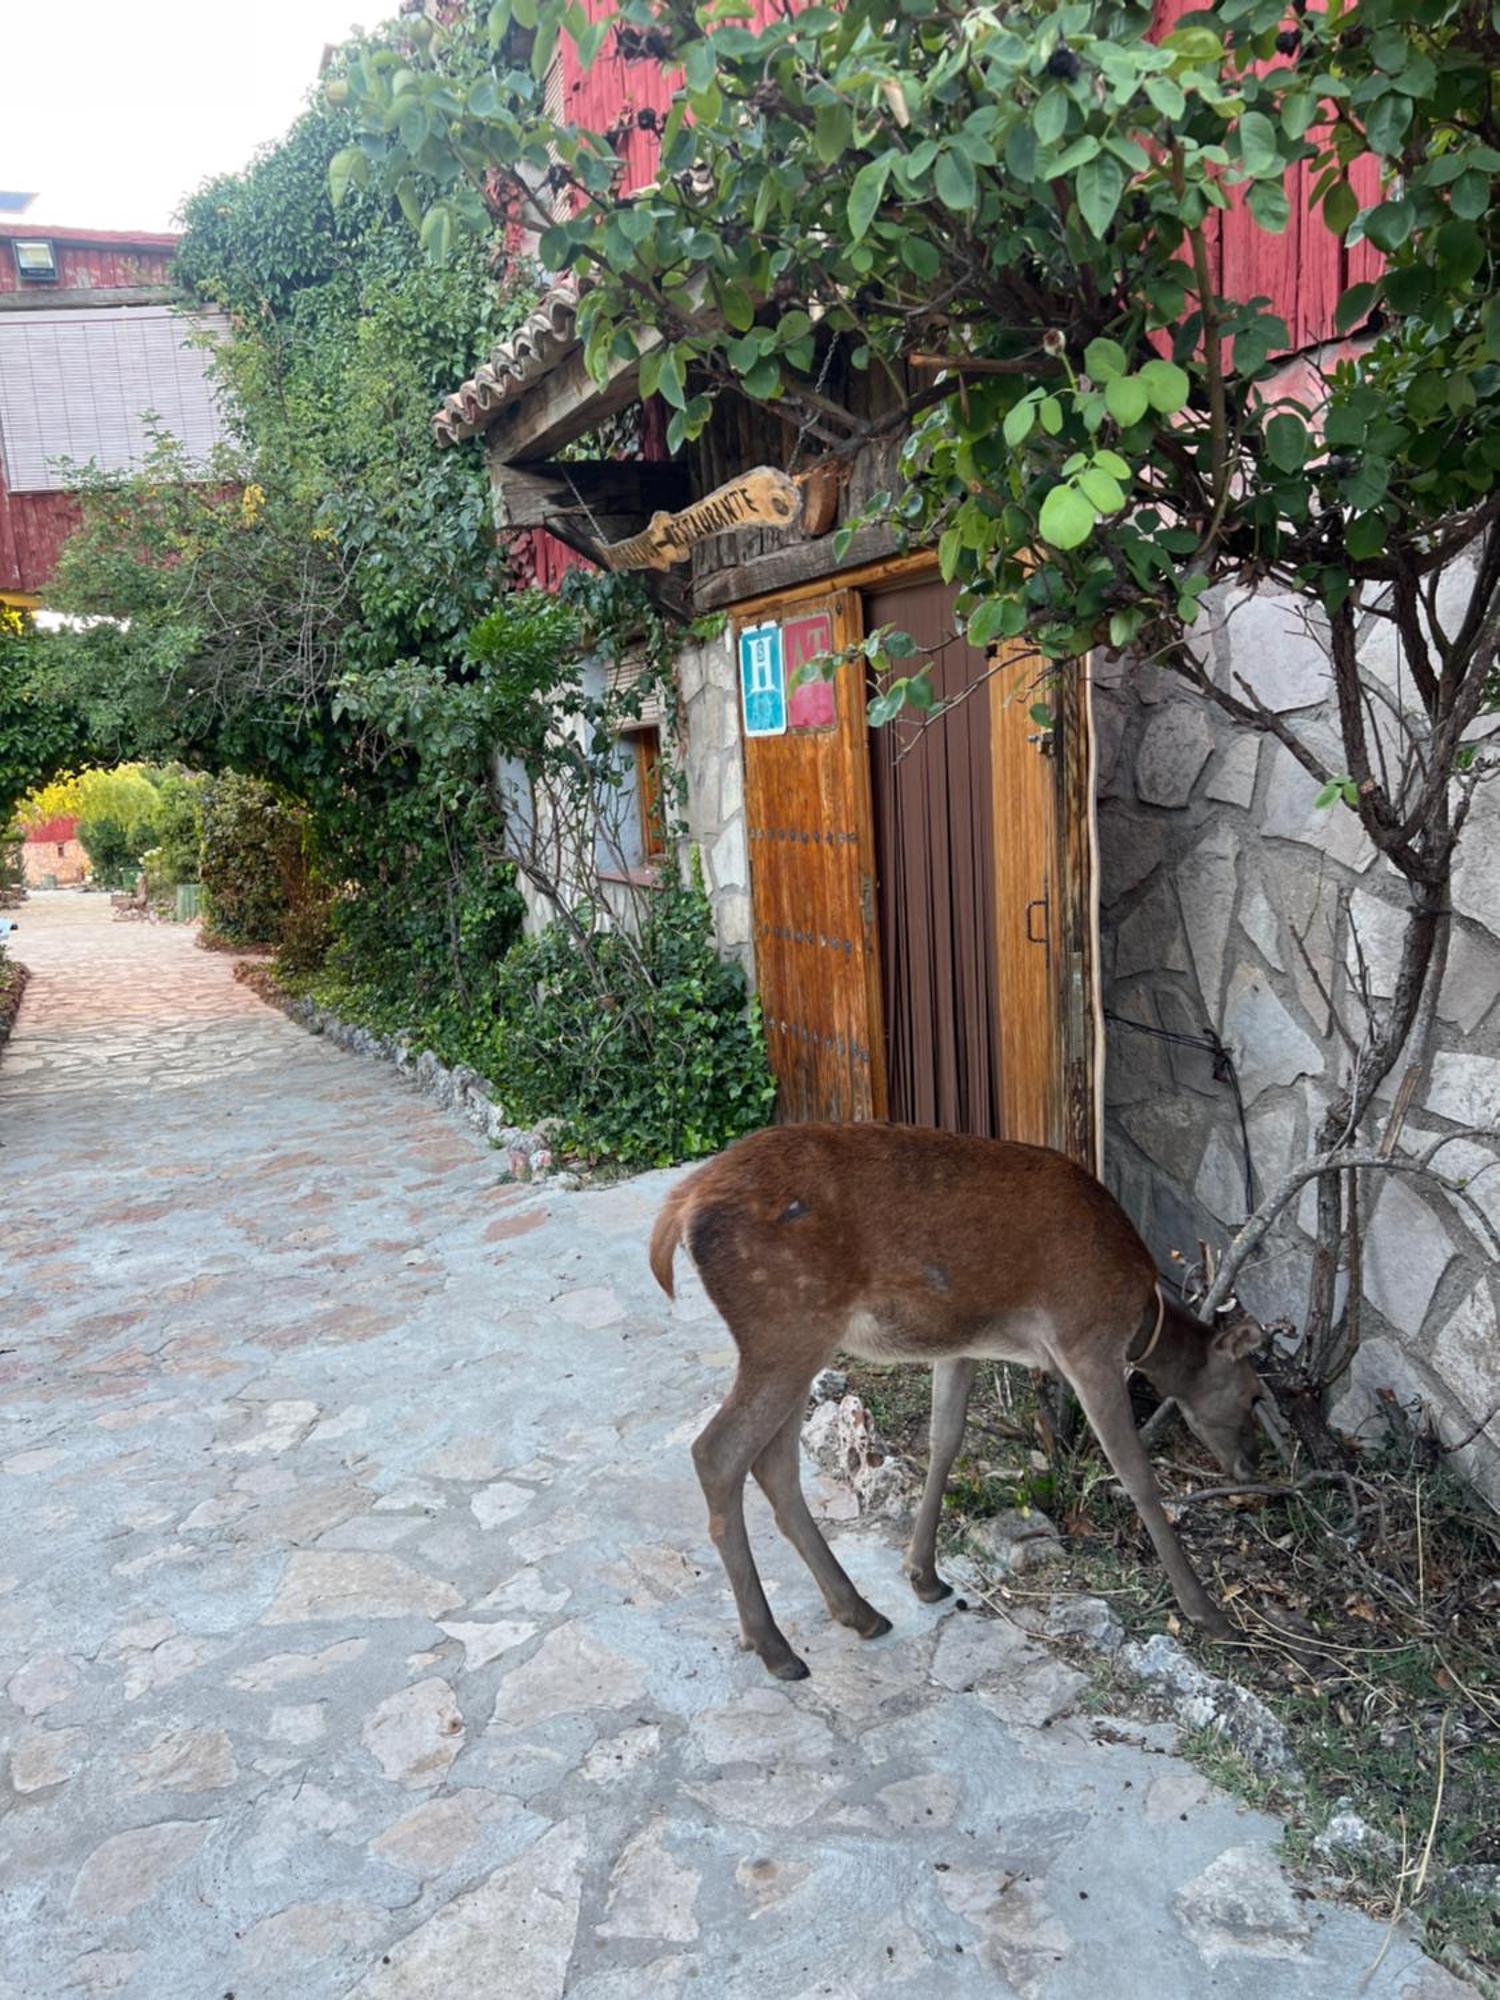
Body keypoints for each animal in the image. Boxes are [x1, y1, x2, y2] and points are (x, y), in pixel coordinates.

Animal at [652, 1128, 1272, 1672]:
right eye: (1252, 1394)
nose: (1250, 1464)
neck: (1137, 1318)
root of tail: (679, 1208)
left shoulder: (961, 1344)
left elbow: (944, 1440)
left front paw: (923, 1575)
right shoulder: (1085, 1339)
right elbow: (1136, 1474)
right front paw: (1210, 1617)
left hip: (797, 1340)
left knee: (773, 1464)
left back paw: (857, 1611)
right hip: (786, 1326)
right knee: (717, 1453)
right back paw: (774, 1646)